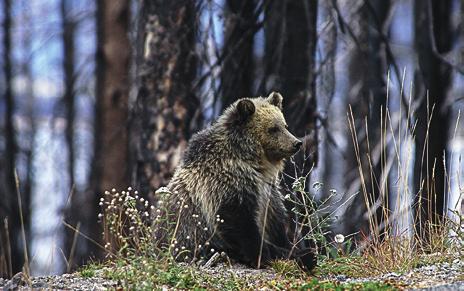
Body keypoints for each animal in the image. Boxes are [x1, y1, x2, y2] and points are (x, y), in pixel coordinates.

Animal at [159, 92, 316, 272]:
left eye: (285, 125)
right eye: (273, 128)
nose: (297, 143)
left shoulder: (268, 190)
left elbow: (275, 220)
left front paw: (290, 246)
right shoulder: (226, 183)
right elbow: (237, 220)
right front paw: (261, 255)